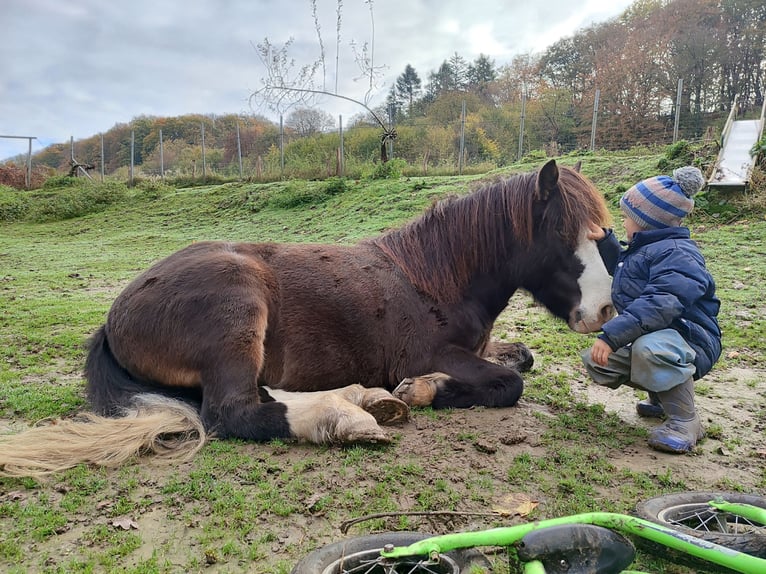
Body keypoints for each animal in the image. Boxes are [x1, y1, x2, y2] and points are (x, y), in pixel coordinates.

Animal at [0, 160, 616, 480]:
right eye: (564, 234)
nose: (606, 311)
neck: (434, 277)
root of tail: (114, 317)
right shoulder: (435, 354)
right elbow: (508, 383)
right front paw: (422, 390)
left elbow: (521, 358)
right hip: (238, 312)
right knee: (233, 413)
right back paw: (342, 418)